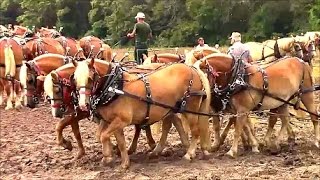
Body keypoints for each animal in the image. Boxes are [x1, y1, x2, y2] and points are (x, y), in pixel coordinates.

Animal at [73, 58, 212, 168]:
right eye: (74, 79)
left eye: (90, 78)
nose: (83, 104)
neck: (115, 86)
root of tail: (192, 68)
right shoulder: (112, 121)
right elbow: (113, 139)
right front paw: (123, 162)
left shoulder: (122, 120)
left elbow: (103, 136)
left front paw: (108, 157)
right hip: (169, 109)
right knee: (169, 125)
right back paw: (160, 151)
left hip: (191, 109)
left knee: (195, 131)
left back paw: (189, 153)